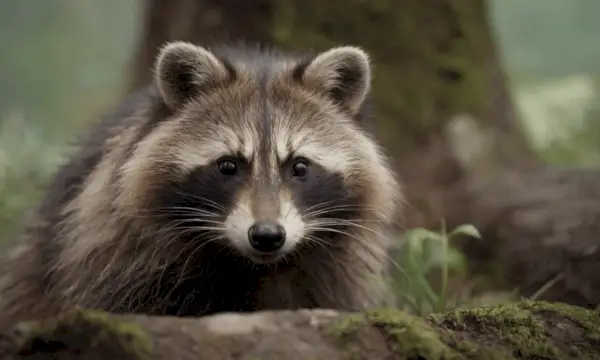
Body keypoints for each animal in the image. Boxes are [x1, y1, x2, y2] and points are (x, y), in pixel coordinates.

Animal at [0, 40, 404, 322]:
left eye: (300, 167)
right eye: (228, 166)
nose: (267, 235)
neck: (249, 265)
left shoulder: (335, 273)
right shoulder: (116, 252)